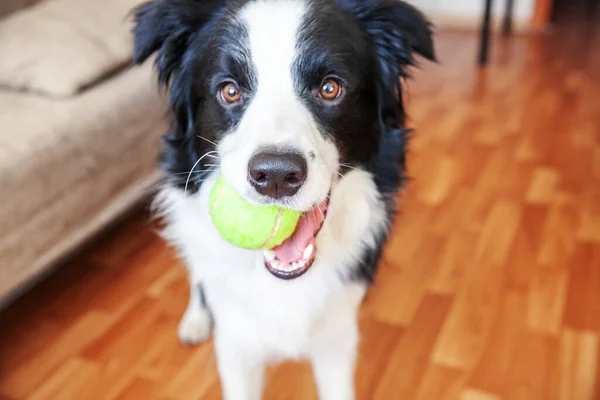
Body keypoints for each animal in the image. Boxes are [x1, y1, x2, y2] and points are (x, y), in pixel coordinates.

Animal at [131, 1, 434, 398]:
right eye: (229, 91)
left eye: (330, 88)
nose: (275, 176)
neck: (283, 282)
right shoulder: (237, 347)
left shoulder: (337, 340)